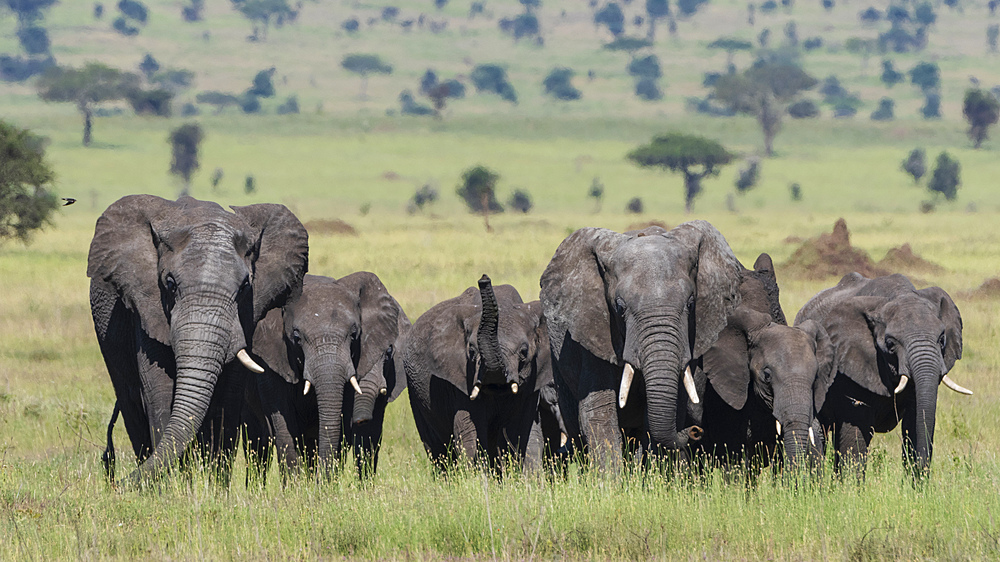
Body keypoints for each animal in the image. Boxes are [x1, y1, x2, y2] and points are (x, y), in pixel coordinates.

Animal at [90, 195, 308, 484]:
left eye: (245, 287)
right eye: (170, 283)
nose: (117, 483)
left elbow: (227, 400)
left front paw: (213, 486)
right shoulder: (146, 308)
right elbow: (159, 392)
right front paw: (172, 486)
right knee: (131, 406)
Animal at [244, 270, 408, 480]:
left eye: (354, 334)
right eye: (296, 337)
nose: (362, 420)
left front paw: (326, 485)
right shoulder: (271, 357)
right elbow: (282, 420)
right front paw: (296, 487)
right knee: (257, 442)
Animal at [404, 274, 564, 470]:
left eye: (524, 352)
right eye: (472, 351)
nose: (484, 278)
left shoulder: (533, 380)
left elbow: (519, 430)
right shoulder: (461, 379)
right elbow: (472, 433)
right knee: (437, 449)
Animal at [540, 221, 744, 470]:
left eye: (691, 304)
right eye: (619, 308)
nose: (696, 431)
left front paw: (651, 475)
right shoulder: (593, 332)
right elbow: (597, 412)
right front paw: (610, 480)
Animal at [792, 272, 972, 476]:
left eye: (942, 339)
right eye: (891, 344)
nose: (923, 475)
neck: (898, 294)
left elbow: (915, 420)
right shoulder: (849, 368)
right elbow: (855, 434)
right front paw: (851, 485)